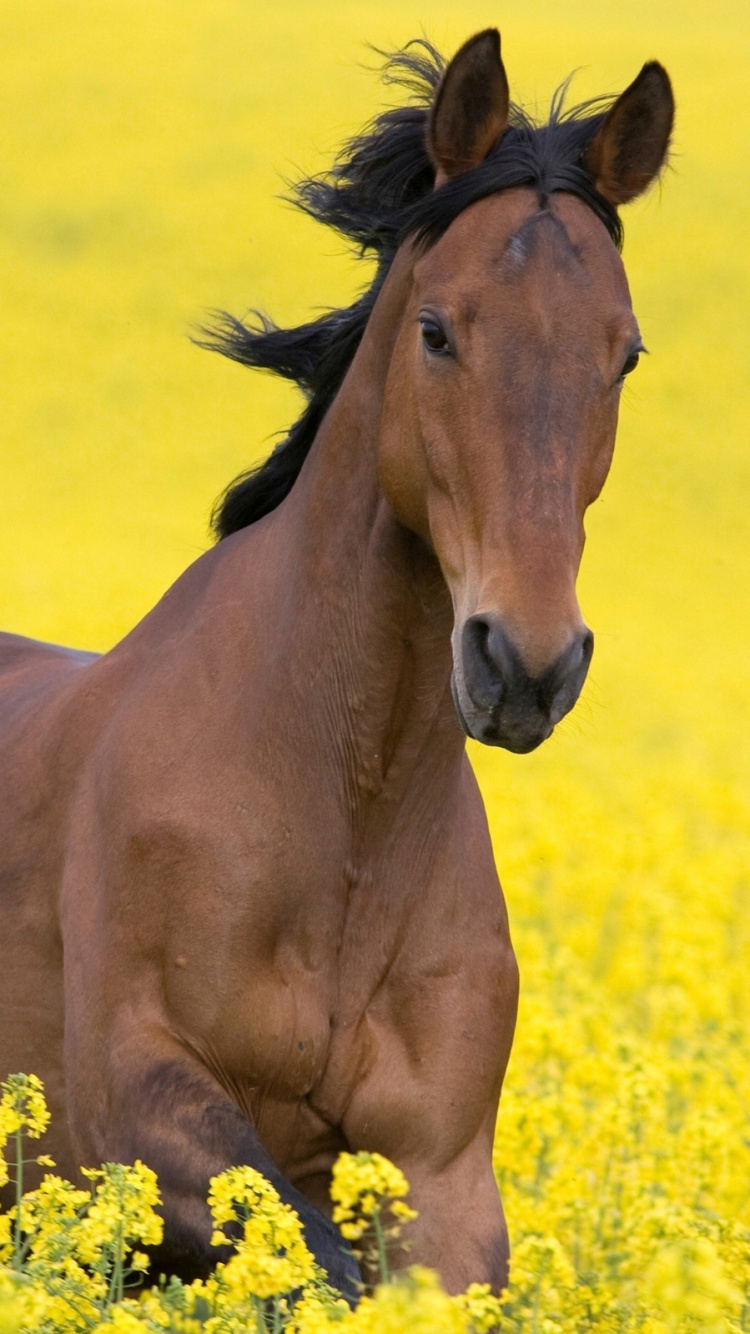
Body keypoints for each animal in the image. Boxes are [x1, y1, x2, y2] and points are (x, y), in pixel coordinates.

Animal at [0, 30, 672, 1298]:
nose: (527, 664)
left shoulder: (442, 1174)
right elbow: (313, 1267)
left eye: (625, 355)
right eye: (438, 329)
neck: (341, 806)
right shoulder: (135, 1102)